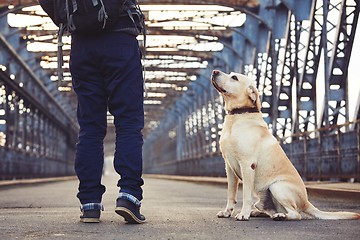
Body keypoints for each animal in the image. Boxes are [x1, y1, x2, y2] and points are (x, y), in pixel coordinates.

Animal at [211, 69, 360, 219]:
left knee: (295, 214)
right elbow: (231, 193)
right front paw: (227, 212)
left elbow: (246, 195)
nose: (214, 71)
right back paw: (259, 212)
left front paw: (243, 214)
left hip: (277, 187)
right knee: (270, 210)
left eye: (234, 77)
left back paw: (280, 216)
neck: (237, 117)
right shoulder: (229, 167)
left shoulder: (247, 164)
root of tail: (306, 202)